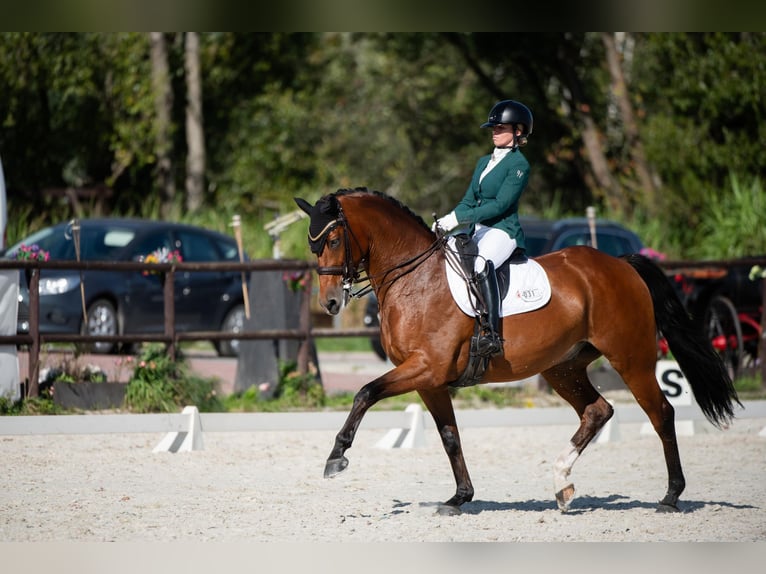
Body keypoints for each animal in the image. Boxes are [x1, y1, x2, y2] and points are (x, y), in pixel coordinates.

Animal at [295, 187, 740, 515]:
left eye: (333, 238)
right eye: (312, 245)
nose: (330, 303)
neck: (414, 278)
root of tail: (622, 264)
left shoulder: (425, 368)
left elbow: (364, 392)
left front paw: (336, 457)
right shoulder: (429, 380)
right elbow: (449, 436)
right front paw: (459, 498)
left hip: (631, 360)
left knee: (661, 414)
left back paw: (670, 496)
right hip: (563, 367)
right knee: (597, 411)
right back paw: (562, 483)